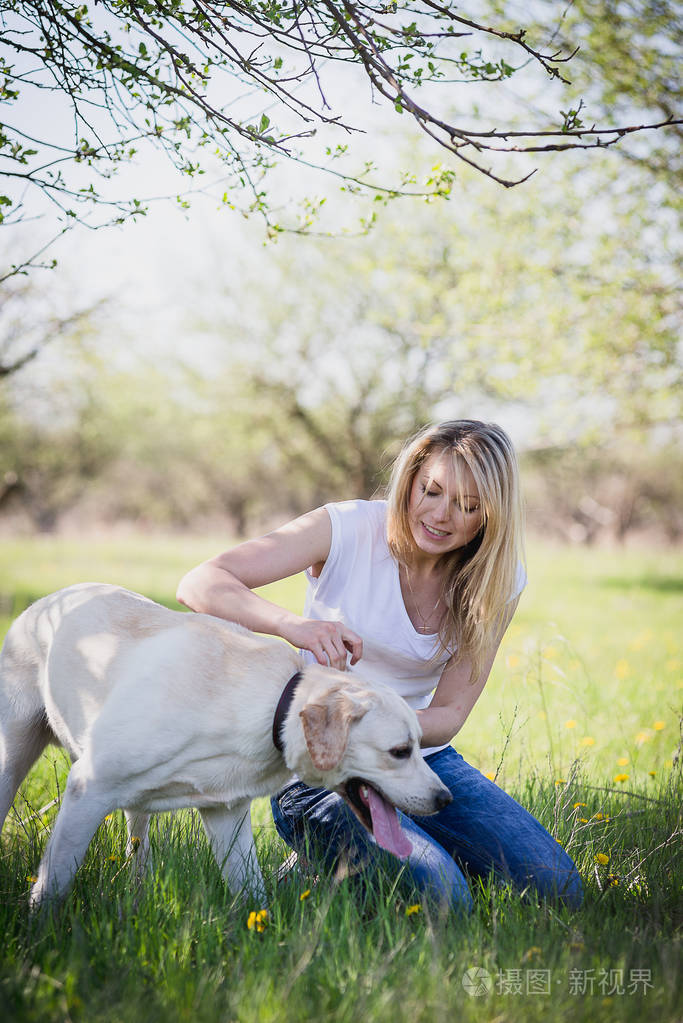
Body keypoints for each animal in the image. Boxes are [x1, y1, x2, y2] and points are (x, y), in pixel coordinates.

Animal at [0, 581, 449, 908]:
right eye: (399, 752)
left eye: (418, 745)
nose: (445, 799)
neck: (272, 706)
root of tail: (46, 601)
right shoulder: (87, 789)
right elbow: (53, 885)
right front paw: (38, 938)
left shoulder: (225, 814)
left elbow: (254, 895)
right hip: (14, 752)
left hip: (135, 807)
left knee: (137, 845)